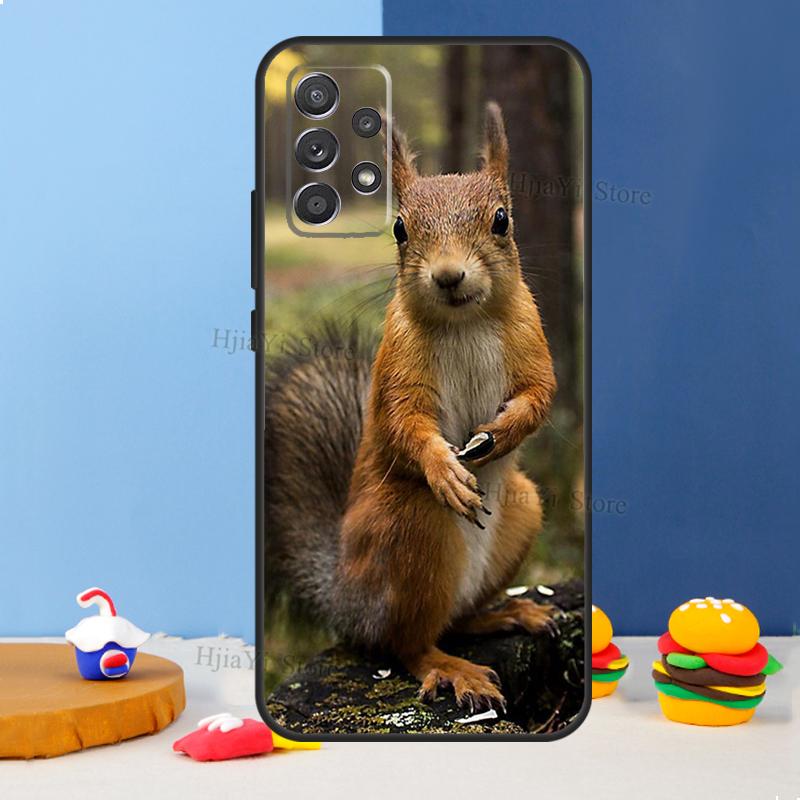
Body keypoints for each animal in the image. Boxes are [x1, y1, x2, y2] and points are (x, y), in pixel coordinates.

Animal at [266, 102, 557, 712]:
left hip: (524, 509)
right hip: (411, 526)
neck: (465, 321)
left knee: (455, 618)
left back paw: (506, 613)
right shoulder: (398, 364)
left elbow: (541, 395)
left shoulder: (532, 340)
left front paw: (503, 432)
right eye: (400, 228)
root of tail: (346, 600)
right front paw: (444, 469)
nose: (448, 275)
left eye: (502, 220)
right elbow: (405, 423)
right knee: (407, 642)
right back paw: (452, 668)